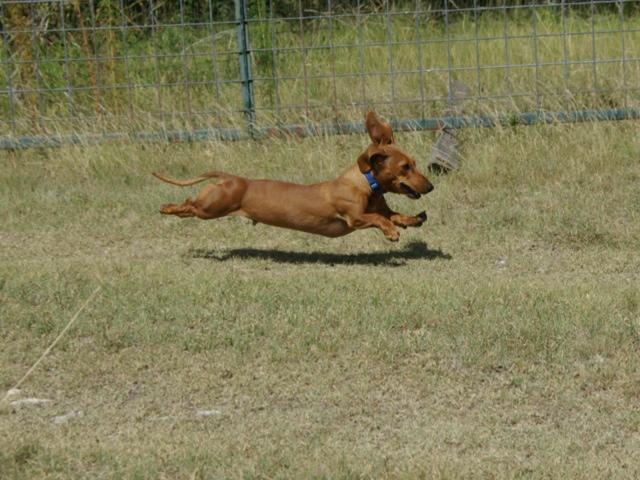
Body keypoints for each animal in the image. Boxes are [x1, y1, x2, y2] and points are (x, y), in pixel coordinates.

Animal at [153, 111, 434, 241]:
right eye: (405, 167)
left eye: (414, 163)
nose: (431, 186)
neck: (366, 184)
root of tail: (230, 178)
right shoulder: (354, 218)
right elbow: (377, 218)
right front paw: (391, 232)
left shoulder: (382, 208)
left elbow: (393, 214)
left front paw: (411, 220)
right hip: (211, 207)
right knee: (189, 204)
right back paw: (168, 207)